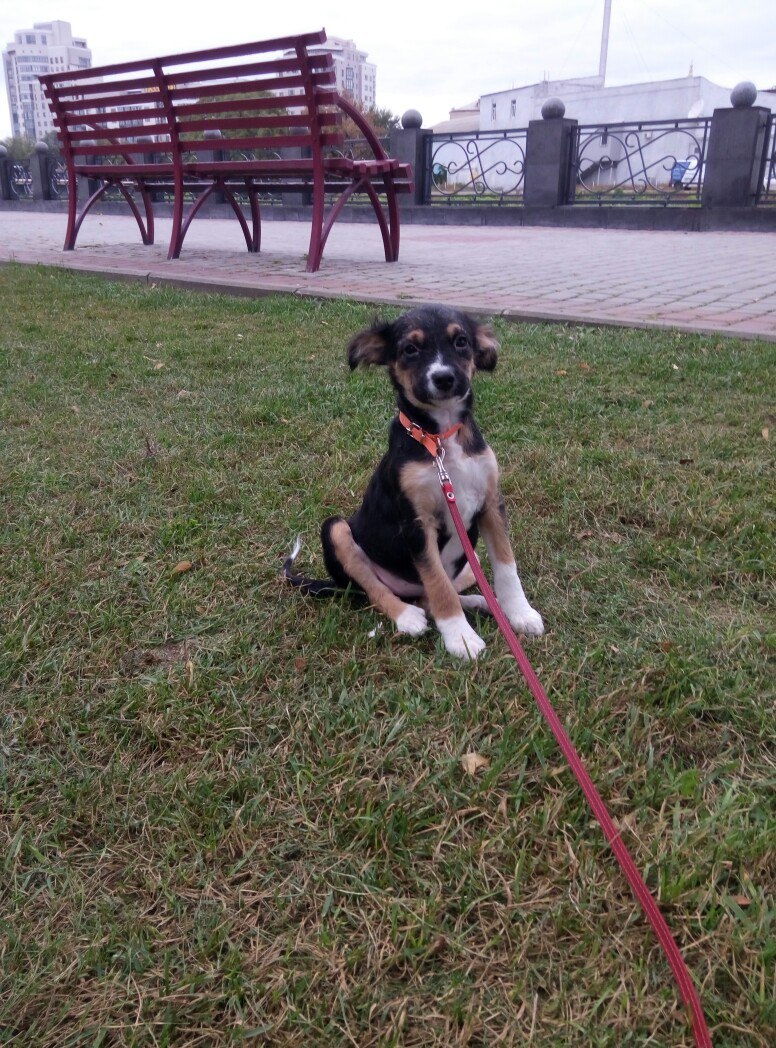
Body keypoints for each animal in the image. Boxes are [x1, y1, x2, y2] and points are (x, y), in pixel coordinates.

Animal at [284, 305, 544, 660]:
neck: (440, 440)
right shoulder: (417, 523)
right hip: (336, 529)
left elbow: (506, 567)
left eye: (461, 341)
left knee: (432, 592)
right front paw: (461, 637)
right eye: (410, 349)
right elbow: (438, 584)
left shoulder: (491, 505)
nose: (444, 378)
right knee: (382, 591)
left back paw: (479, 601)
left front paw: (519, 613)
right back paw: (408, 617)